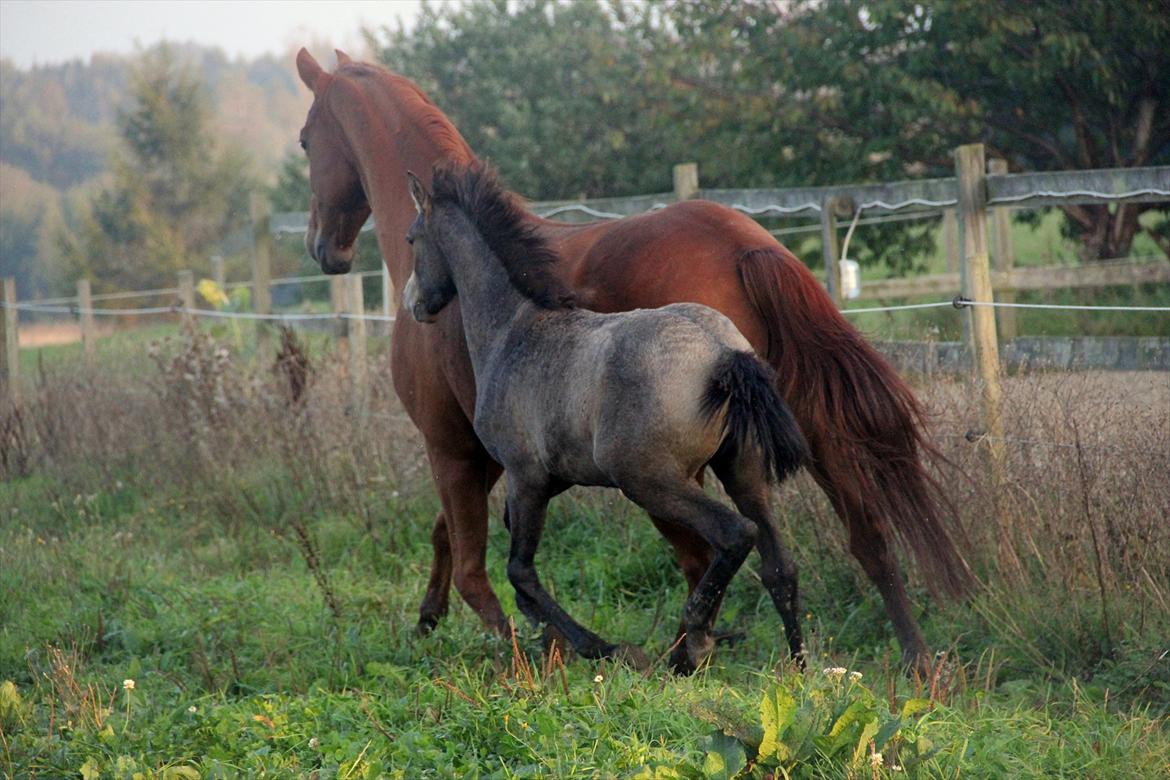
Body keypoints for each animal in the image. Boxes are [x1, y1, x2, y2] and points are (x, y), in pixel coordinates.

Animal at [297, 48, 973, 668]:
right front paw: (436, 621)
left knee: (715, 547)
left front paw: (547, 646)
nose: (322, 249)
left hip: (653, 476)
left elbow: (488, 568)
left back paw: (686, 648)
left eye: (305, 141)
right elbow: (462, 543)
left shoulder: (465, 450)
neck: (516, 321)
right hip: (778, 437)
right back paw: (894, 660)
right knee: (848, 536)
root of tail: (749, 248)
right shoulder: (493, 459)